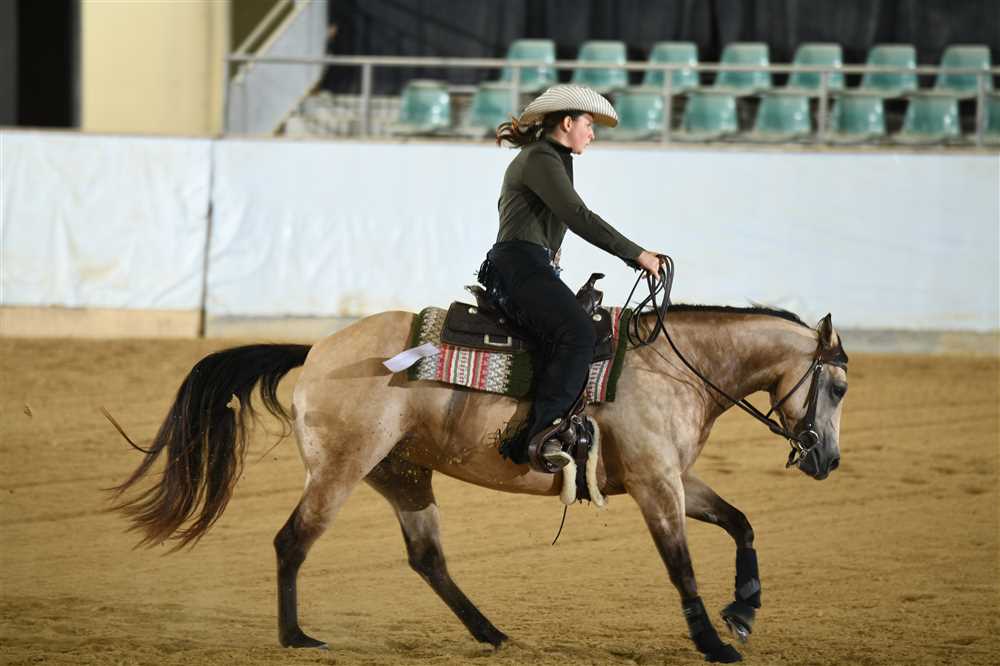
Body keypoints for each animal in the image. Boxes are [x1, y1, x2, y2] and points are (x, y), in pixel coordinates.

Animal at [110, 303, 849, 663]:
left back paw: (490, 633)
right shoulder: (656, 486)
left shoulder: (675, 478)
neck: (669, 367)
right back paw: (297, 638)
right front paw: (714, 644)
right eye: (838, 386)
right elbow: (682, 566)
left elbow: (741, 523)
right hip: (340, 471)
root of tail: (317, 352)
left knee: (427, 558)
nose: (829, 460)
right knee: (292, 542)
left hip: (403, 475)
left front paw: (743, 612)